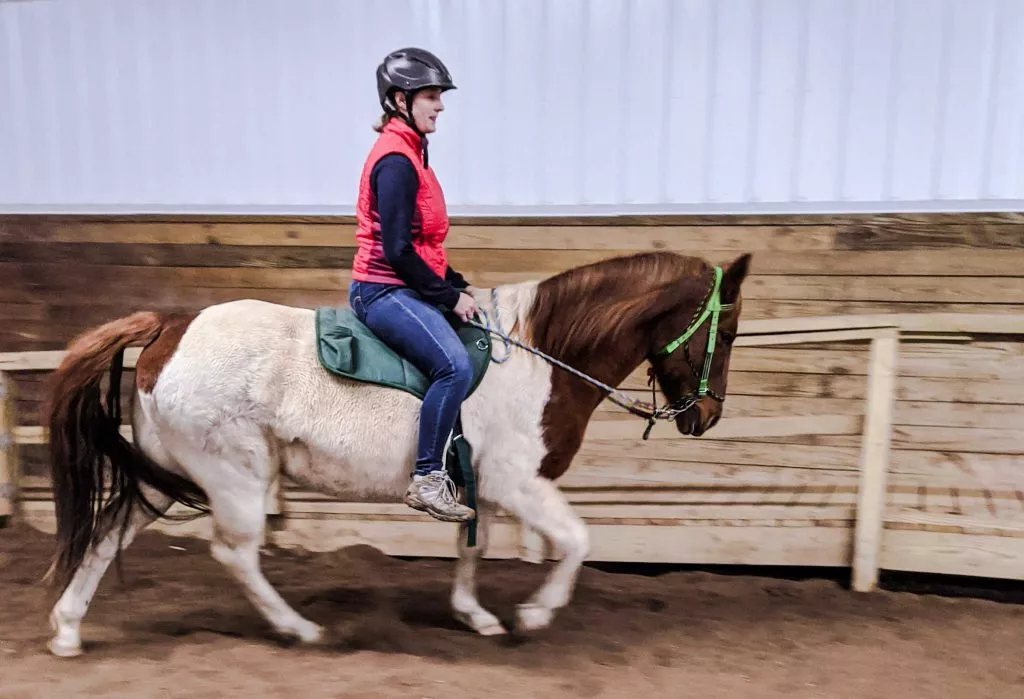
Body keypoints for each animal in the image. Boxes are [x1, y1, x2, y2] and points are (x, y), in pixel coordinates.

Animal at [39, 249, 749, 654]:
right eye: (728, 330)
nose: (707, 416)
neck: (542, 356)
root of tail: (170, 327)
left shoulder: (479, 482)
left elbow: (473, 545)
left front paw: (476, 617)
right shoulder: (518, 483)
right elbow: (576, 540)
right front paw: (534, 614)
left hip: (165, 474)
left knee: (110, 530)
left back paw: (69, 630)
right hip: (233, 477)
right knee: (234, 554)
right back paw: (301, 630)